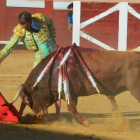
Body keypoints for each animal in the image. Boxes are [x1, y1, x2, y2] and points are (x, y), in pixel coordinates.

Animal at [12, 46, 140, 127]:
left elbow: (71, 108)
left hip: (135, 89)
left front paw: (84, 122)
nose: (39, 115)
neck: (54, 70)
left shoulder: (71, 93)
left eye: (27, 99)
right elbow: (70, 108)